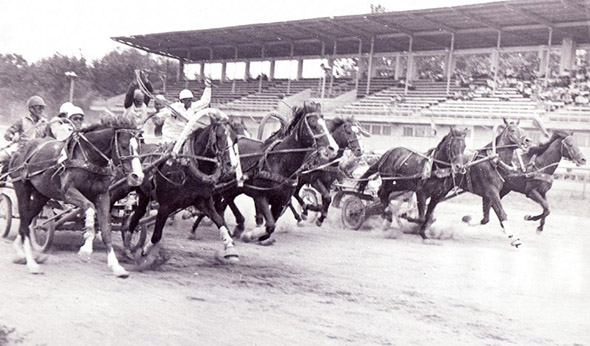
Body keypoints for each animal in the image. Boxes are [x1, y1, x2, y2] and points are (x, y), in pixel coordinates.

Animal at [9, 117, 145, 278]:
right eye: (124, 146)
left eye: (139, 147)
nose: (137, 176)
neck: (88, 158)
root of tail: (20, 150)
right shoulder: (69, 192)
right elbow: (90, 209)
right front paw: (86, 249)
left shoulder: (103, 196)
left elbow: (106, 229)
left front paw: (116, 266)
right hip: (21, 189)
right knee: (24, 222)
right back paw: (31, 263)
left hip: (41, 195)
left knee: (28, 220)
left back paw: (19, 253)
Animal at [125, 115, 243, 266]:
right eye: (219, 136)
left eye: (236, 139)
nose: (231, 165)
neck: (186, 168)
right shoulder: (165, 206)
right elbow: (157, 235)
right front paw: (145, 253)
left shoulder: (203, 201)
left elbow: (219, 221)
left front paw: (230, 249)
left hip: (145, 195)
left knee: (137, 215)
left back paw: (128, 242)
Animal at [460, 117, 536, 247]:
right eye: (512, 130)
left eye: (522, 129)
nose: (528, 141)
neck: (493, 161)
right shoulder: (492, 192)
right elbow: (501, 213)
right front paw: (514, 238)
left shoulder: (489, 195)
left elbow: (486, 218)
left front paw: (468, 219)